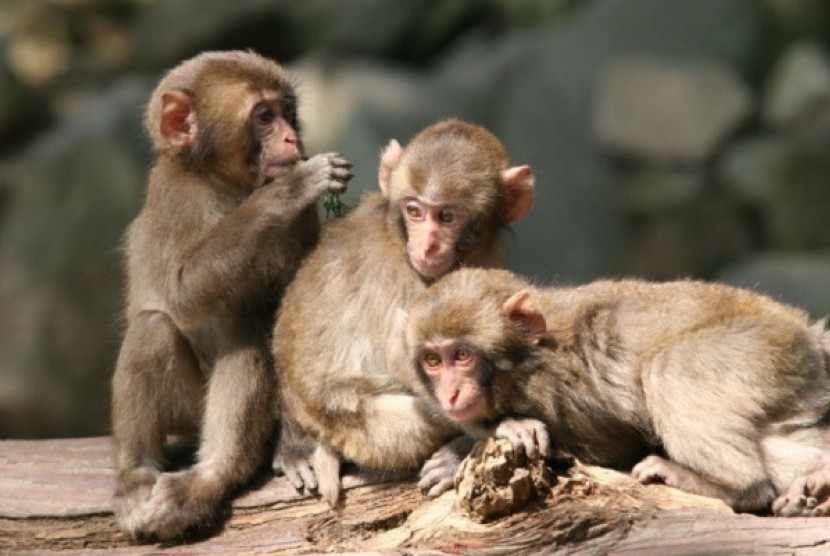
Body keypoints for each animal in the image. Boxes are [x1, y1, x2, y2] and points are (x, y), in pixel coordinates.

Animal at [110, 50, 352, 540]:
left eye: (287, 111)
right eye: (264, 117)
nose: (292, 136)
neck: (228, 184)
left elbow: (295, 318)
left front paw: (298, 447)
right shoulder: (175, 197)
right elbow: (182, 292)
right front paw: (291, 188)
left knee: (248, 326)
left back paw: (213, 475)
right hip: (189, 408)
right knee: (154, 327)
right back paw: (143, 474)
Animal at [270, 119, 536, 506]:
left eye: (447, 216)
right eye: (415, 212)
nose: (427, 245)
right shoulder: (402, 276)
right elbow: (407, 358)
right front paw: (501, 425)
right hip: (367, 433)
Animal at [406, 268, 830, 516]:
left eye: (462, 356)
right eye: (433, 360)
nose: (450, 394)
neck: (530, 357)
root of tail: (807, 334)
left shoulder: (559, 395)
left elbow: (609, 450)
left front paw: (499, 432)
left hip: (763, 348)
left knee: (671, 367)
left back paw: (735, 487)